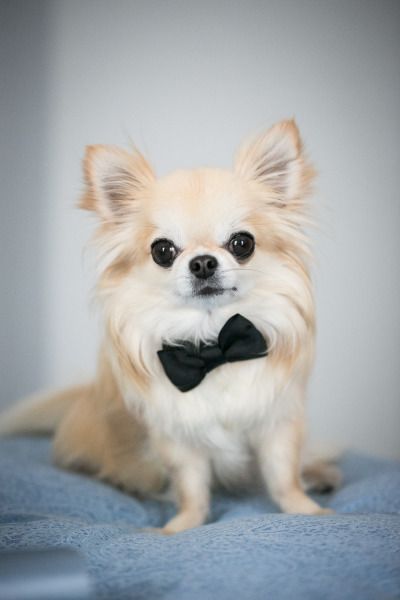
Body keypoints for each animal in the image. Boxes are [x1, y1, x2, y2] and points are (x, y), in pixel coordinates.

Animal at [0, 119, 340, 532]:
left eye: (242, 243)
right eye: (163, 251)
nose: (203, 262)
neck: (214, 343)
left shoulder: (278, 422)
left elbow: (283, 474)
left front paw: (307, 510)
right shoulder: (177, 437)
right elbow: (191, 486)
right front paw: (181, 526)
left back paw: (321, 475)